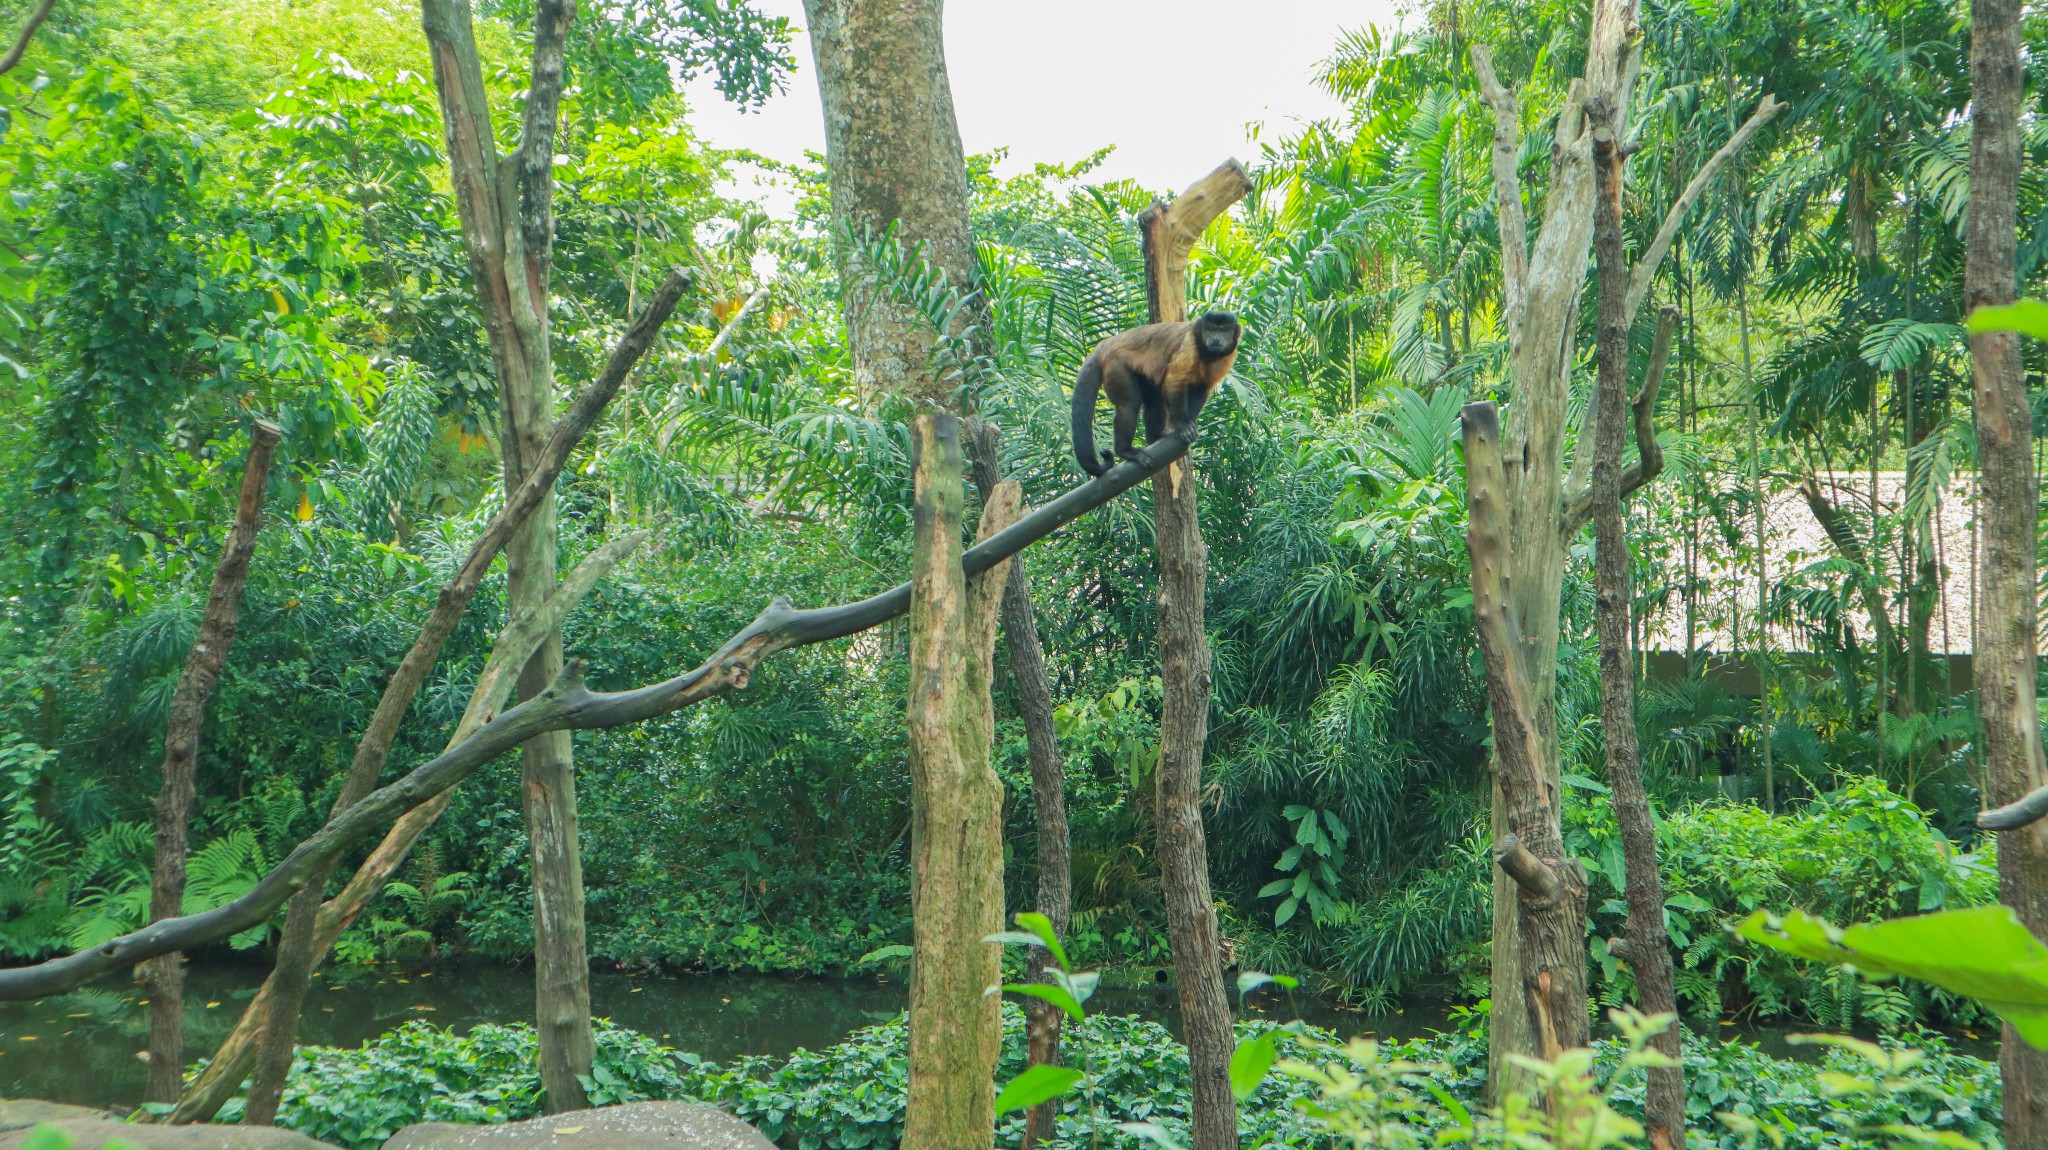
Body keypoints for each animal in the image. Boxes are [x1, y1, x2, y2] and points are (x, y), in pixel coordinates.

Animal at [1073, 308, 1245, 474]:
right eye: (1210, 330)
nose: (1216, 338)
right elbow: (1175, 380)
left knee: (1155, 400)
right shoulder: (1189, 343)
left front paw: (1190, 421)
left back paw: (1155, 437)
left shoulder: (1228, 356)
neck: (1207, 354)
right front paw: (1182, 425)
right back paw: (1125, 451)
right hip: (1115, 364)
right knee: (1130, 404)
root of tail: (1107, 343)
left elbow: (1202, 387)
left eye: (1224, 331)